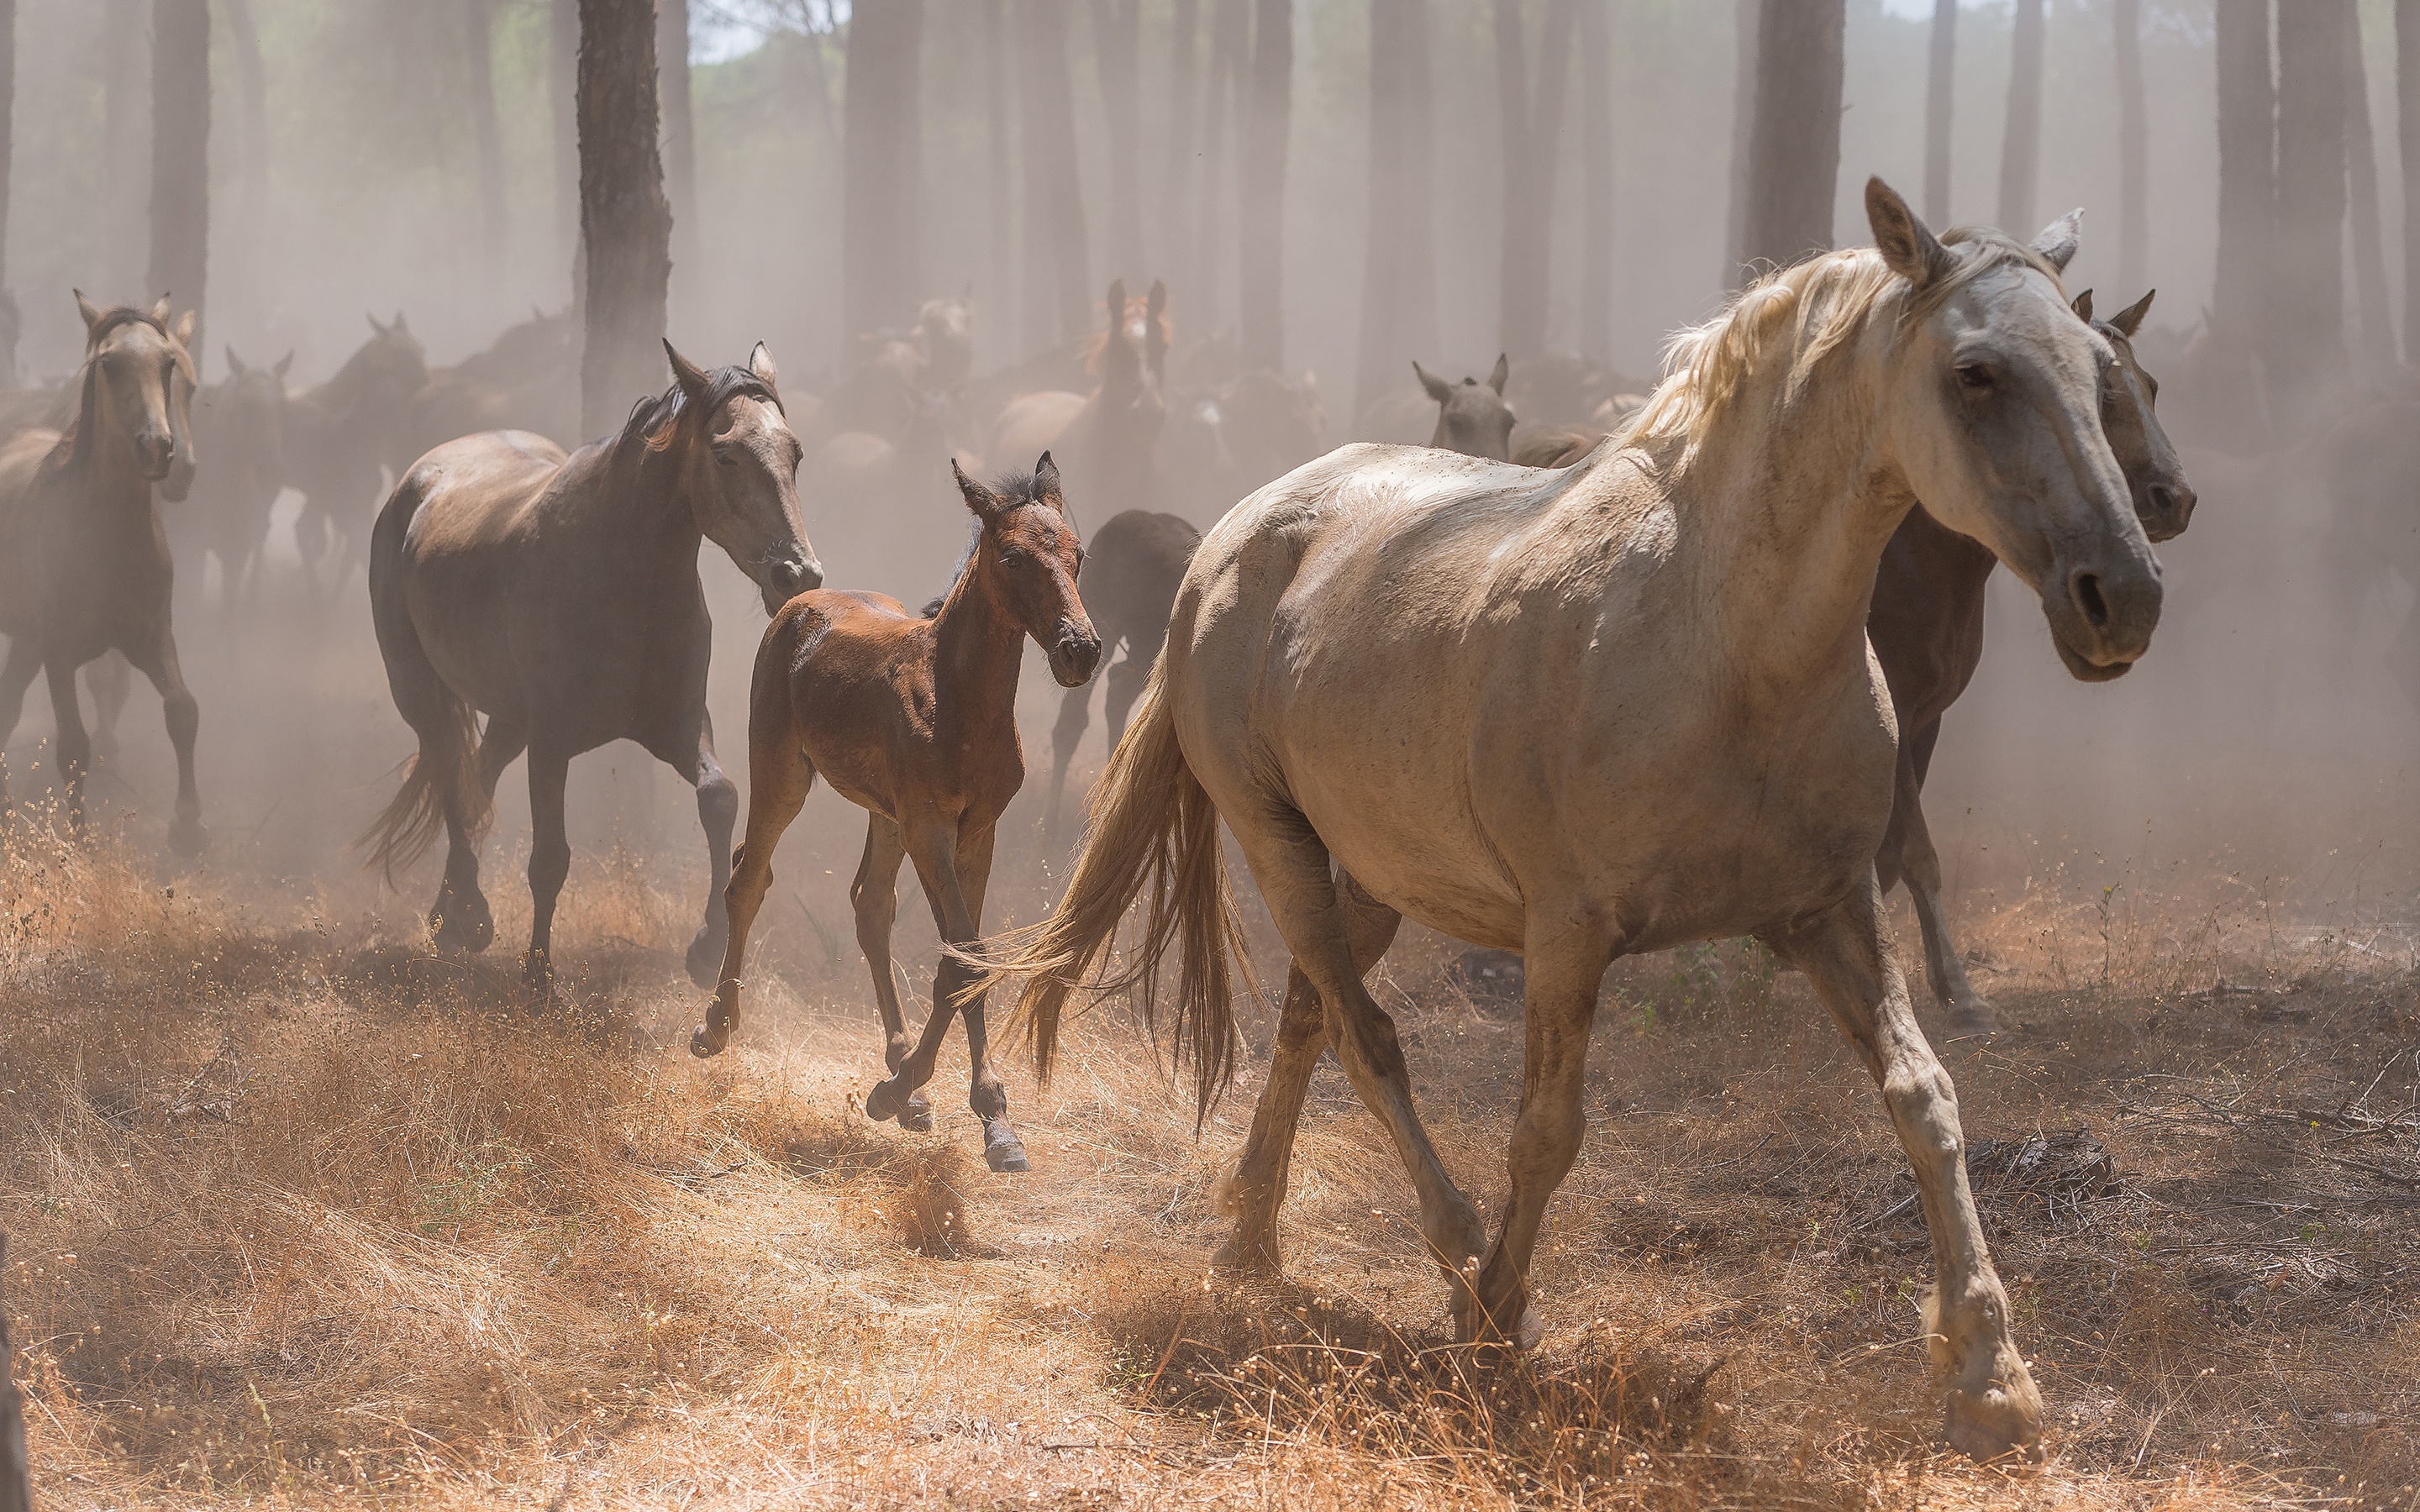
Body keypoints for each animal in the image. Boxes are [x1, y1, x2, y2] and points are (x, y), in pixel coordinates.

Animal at [0, 293, 203, 851]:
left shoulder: (152, 637)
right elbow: (73, 746)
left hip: (26, 639)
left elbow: (183, 711)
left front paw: (189, 828)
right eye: (108, 364)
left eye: (168, 363)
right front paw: (79, 841)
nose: (157, 448)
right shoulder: (60, 652)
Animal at [353, 339, 818, 991]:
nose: (797, 575)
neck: (620, 574)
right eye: (724, 454)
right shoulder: (553, 741)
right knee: (449, 772)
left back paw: (452, 917)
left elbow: (720, 797)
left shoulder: (676, 726)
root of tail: (416, 481)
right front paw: (539, 976)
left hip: (509, 718)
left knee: (476, 779)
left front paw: (706, 949)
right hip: (418, 690)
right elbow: (550, 858)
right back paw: (469, 914)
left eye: (794, 454)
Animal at [692, 454, 1108, 1175]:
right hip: (784, 777)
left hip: (884, 817)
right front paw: (939, 1101)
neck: (955, 699)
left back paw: (901, 1075)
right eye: (1012, 557)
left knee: (870, 906)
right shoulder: (929, 829)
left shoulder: (976, 832)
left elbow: (960, 959)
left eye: (1078, 555)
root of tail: (799, 604)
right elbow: (964, 960)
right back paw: (717, 1025)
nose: (1079, 650)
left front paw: (965, 1109)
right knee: (748, 879)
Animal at [992, 180, 2168, 1461]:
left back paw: (1252, 1233)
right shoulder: (1568, 933)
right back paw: (1453, 1256)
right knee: (1366, 1037)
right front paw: (1499, 1318)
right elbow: (1546, 1130)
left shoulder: (1831, 911)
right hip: (1280, 847)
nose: (2122, 593)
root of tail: (1233, 535)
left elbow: (1927, 1099)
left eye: (2104, 375)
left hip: (1377, 876)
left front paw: (1994, 1380)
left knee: (1311, 1015)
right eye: (1976, 373)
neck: (1719, 638)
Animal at [1877, 265, 2207, 1030]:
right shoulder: (1892, 712)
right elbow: (1915, 851)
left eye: (2150, 386)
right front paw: (1959, 993)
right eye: (2103, 395)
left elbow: (1895, 852)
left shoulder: (1926, 718)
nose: (2174, 498)